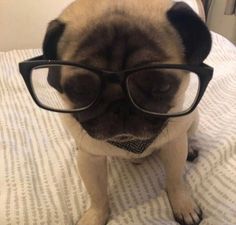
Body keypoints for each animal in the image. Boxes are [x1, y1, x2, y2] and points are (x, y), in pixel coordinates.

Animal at [41, 0, 211, 225]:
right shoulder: (89, 158)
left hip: (193, 120)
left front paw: (183, 205)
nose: (120, 106)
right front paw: (96, 215)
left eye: (162, 87)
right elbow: (97, 194)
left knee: (188, 136)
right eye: (81, 90)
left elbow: (175, 180)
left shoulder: (174, 146)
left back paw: (190, 148)